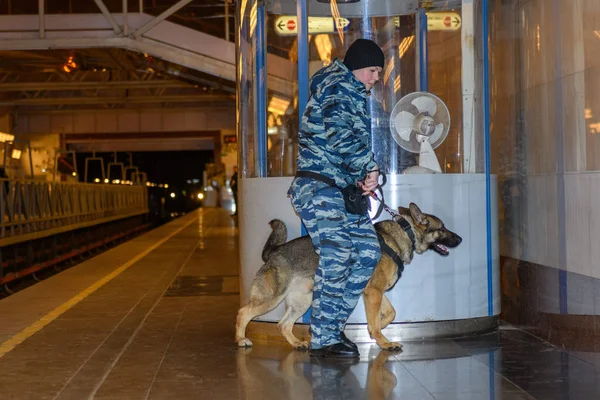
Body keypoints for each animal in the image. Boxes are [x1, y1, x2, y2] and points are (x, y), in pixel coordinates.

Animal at [234, 203, 460, 350]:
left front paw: (376, 330)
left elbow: (390, 313)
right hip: (271, 299)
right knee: (243, 313)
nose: (460, 239)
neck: (404, 234)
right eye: (442, 228)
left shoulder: (376, 293)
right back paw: (241, 340)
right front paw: (384, 342)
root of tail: (275, 251)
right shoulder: (374, 292)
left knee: (283, 325)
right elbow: (378, 321)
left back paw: (297, 343)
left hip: (302, 302)